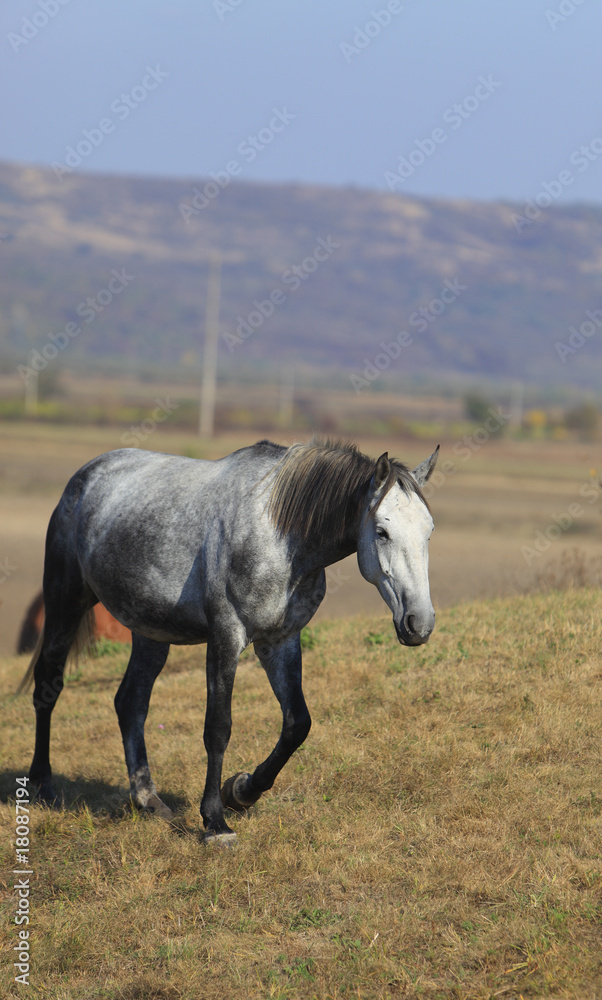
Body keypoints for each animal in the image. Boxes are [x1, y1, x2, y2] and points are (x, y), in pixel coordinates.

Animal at [18, 437, 438, 843]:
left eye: (429, 531)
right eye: (382, 531)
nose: (419, 623)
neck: (279, 535)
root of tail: (88, 474)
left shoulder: (280, 640)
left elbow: (297, 723)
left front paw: (241, 791)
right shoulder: (226, 636)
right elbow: (218, 728)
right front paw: (215, 822)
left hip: (149, 630)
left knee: (130, 703)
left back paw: (149, 800)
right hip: (65, 601)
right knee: (48, 686)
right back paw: (42, 787)